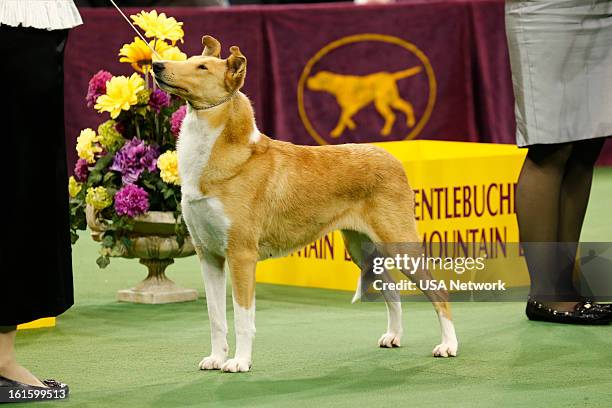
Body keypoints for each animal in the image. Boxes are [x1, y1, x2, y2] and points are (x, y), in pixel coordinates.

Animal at [153, 35, 460, 372]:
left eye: (203, 67)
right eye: (190, 61)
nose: (157, 65)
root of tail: (393, 158)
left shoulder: (241, 254)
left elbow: (243, 317)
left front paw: (239, 362)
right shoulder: (208, 254)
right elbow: (216, 318)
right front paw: (217, 358)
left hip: (400, 244)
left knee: (438, 291)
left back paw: (448, 345)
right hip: (362, 248)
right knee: (392, 290)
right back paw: (393, 336)